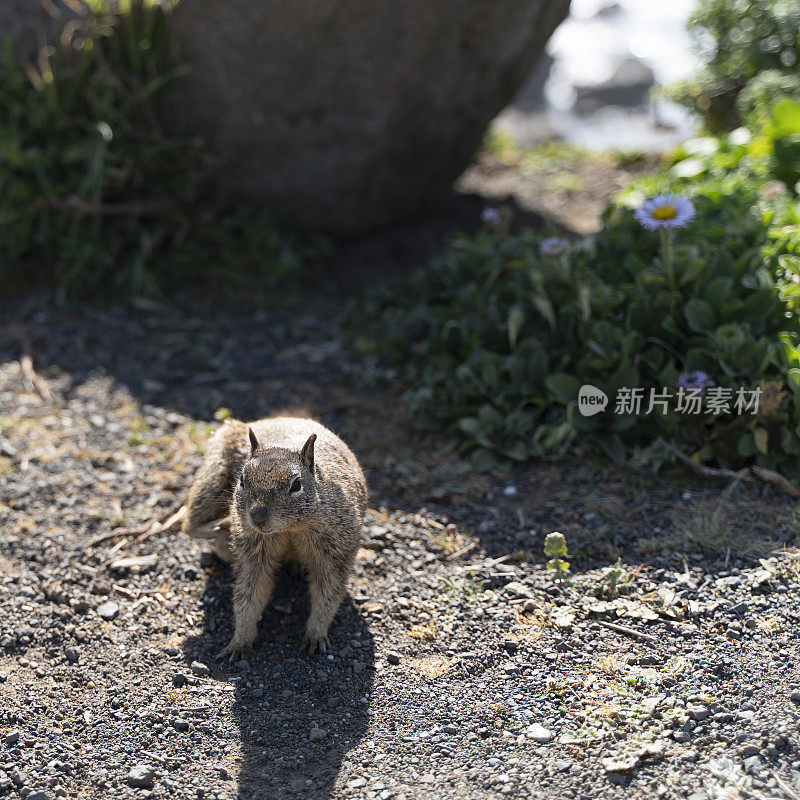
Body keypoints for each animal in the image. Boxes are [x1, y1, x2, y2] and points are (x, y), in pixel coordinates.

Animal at [180, 418, 366, 656]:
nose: (257, 518)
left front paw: (315, 635)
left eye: (296, 485)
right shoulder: (254, 552)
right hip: (211, 479)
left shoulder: (335, 552)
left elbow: (328, 593)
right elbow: (249, 594)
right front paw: (240, 640)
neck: (290, 529)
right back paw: (223, 524)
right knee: (189, 524)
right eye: (242, 479)